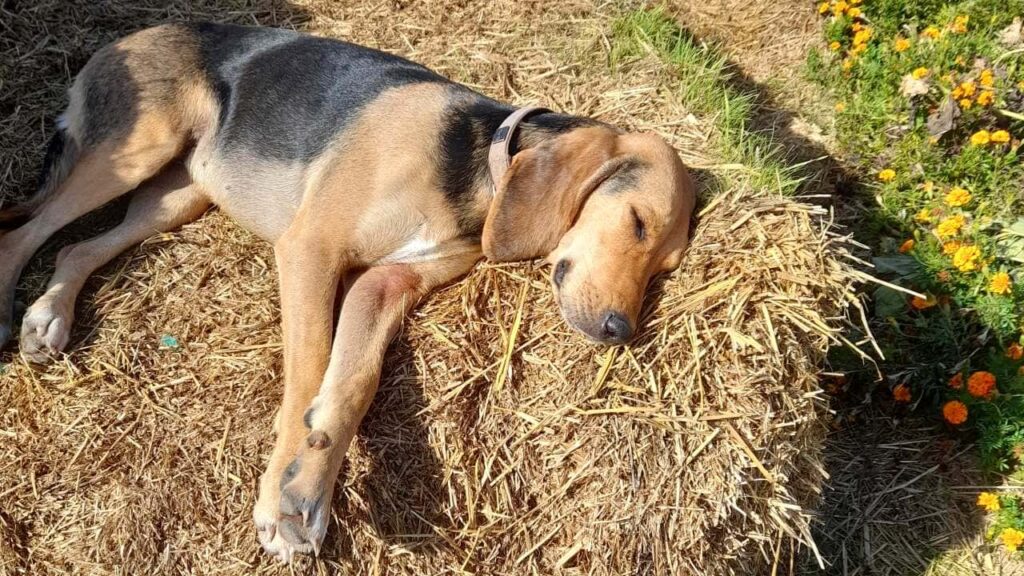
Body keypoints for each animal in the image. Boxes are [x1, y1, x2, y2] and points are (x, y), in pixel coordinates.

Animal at [0, 24, 696, 557]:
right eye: (637, 221)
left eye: (666, 267)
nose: (621, 331)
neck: (476, 161)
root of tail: (127, 36)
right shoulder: (310, 250)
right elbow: (310, 368)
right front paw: (284, 494)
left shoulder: (383, 285)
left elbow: (353, 383)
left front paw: (311, 480)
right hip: (138, 149)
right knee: (24, 233)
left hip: (177, 196)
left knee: (75, 246)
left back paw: (48, 315)